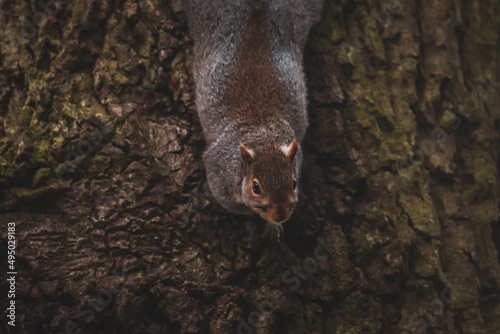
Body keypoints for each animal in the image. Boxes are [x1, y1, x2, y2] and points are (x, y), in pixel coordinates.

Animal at [184, 0, 324, 224]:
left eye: (294, 181)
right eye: (255, 187)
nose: (280, 217)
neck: (263, 136)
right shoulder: (219, 173)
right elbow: (235, 206)